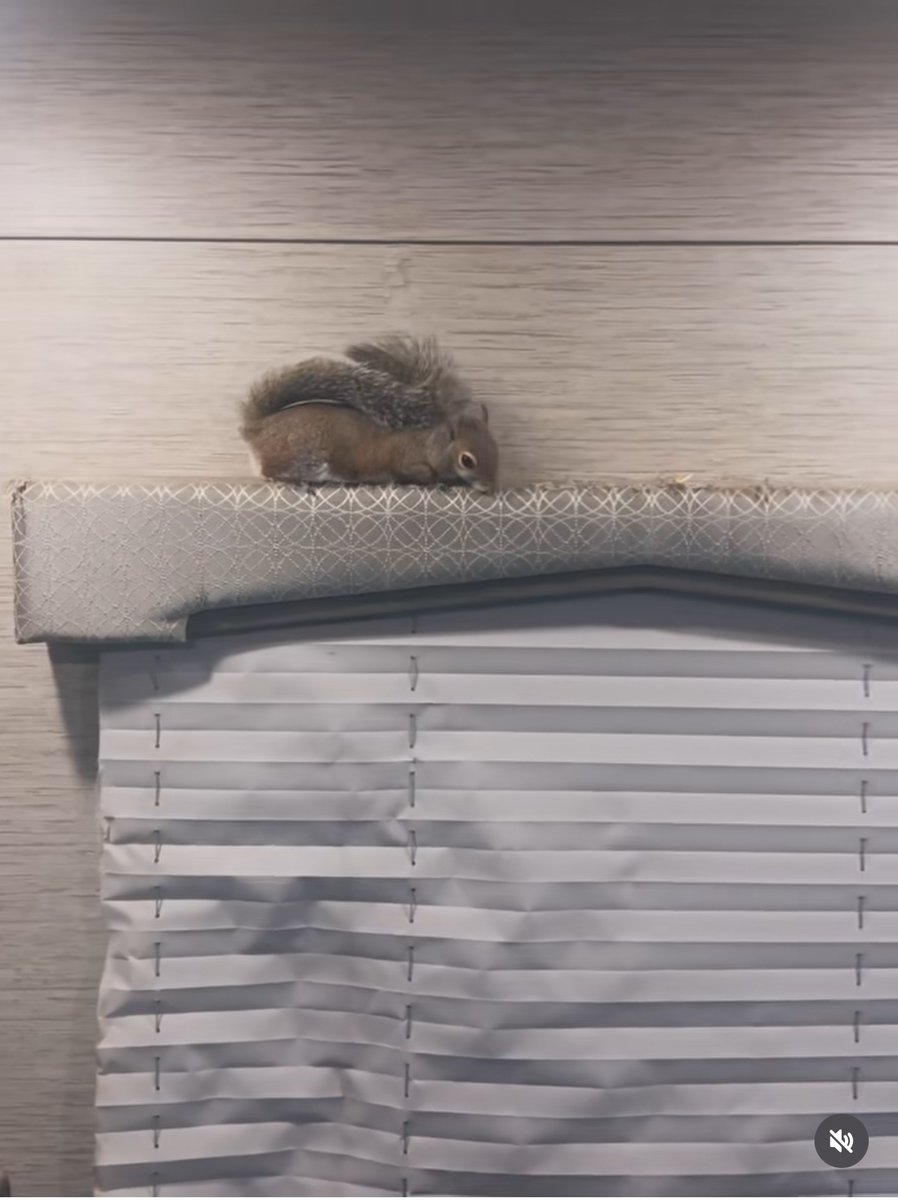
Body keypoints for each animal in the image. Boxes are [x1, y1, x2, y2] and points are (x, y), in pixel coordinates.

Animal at [240, 335, 499, 493]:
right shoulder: (403, 459)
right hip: (301, 455)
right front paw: (437, 484)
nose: (490, 488)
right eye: (467, 460)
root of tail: (256, 429)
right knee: (268, 471)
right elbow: (415, 473)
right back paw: (290, 482)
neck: (431, 442)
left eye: (496, 449)